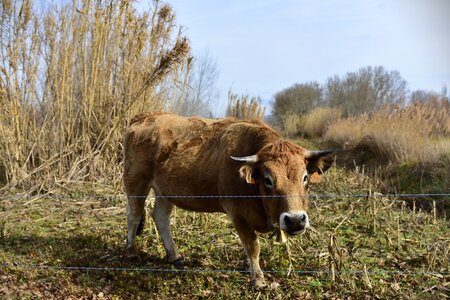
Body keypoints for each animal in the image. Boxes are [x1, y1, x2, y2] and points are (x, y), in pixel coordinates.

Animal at [123, 112, 334, 286]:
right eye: (267, 179)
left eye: (305, 177)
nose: (296, 220)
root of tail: (146, 116)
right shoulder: (237, 214)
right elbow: (253, 245)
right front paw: (258, 280)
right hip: (135, 182)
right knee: (134, 215)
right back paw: (131, 252)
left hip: (165, 190)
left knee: (160, 217)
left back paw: (174, 256)